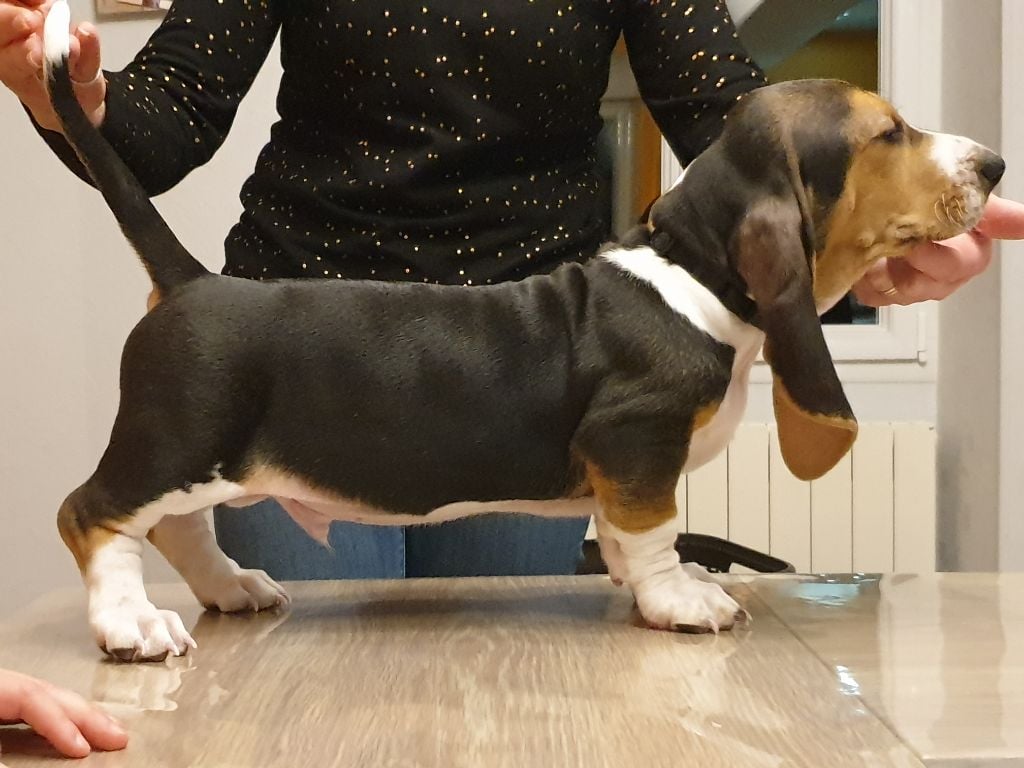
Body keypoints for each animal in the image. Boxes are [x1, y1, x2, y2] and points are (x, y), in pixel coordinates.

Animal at [42, 0, 1003, 661]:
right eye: (888, 133)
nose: (993, 164)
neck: (692, 272)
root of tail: (192, 281)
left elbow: (621, 535)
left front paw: (656, 587)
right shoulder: (636, 441)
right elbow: (653, 530)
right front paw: (681, 601)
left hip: (198, 461)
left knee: (177, 530)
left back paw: (231, 588)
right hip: (174, 441)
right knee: (92, 515)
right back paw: (130, 624)